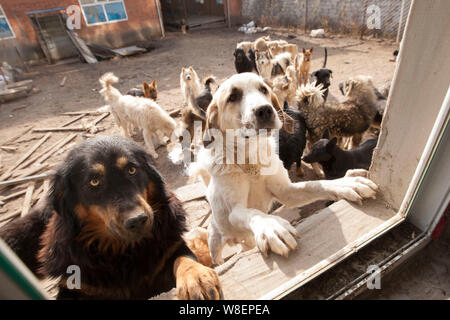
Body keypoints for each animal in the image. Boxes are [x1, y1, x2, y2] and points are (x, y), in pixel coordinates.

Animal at [0, 135, 220, 300]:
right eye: (94, 181)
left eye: (132, 170)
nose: (137, 220)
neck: (123, 251)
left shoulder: (170, 249)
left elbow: (184, 259)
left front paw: (197, 279)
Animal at [192, 73, 378, 264]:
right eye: (232, 96)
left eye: (263, 89)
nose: (265, 110)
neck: (251, 162)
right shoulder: (234, 210)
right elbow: (252, 213)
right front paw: (272, 226)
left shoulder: (286, 192)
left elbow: (316, 185)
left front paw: (345, 184)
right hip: (216, 243)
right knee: (218, 258)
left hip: (247, 242)